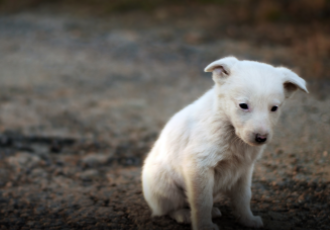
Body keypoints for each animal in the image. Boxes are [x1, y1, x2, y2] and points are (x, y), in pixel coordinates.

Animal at [141, 56, 306, 230]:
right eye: (243, 105)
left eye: (274, 108)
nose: (261, 138)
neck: (229, 129)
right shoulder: (199, 167)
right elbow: (202, 202)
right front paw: (204, 226)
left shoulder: (244, 170)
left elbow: (243, 198)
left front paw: (248, 220)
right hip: (165, 186)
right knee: (169, 208)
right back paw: (184, 215)